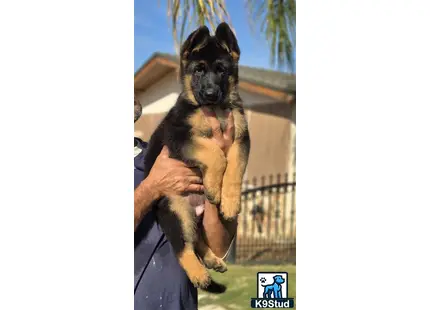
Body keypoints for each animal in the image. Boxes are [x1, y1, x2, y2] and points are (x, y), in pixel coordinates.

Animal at [143, 22, 250, 288]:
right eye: (199, 70)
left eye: (221, 70)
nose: (210, 94)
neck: (215, 109)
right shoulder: (179, 137)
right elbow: (215, 153)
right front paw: (213, 186)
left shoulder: (241, 139)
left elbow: (234, 168)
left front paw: (229, 202)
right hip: (176, 210)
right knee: (183, 246)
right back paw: (199, 274)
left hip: (194, 217)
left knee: (197, 239)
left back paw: (212, 259)